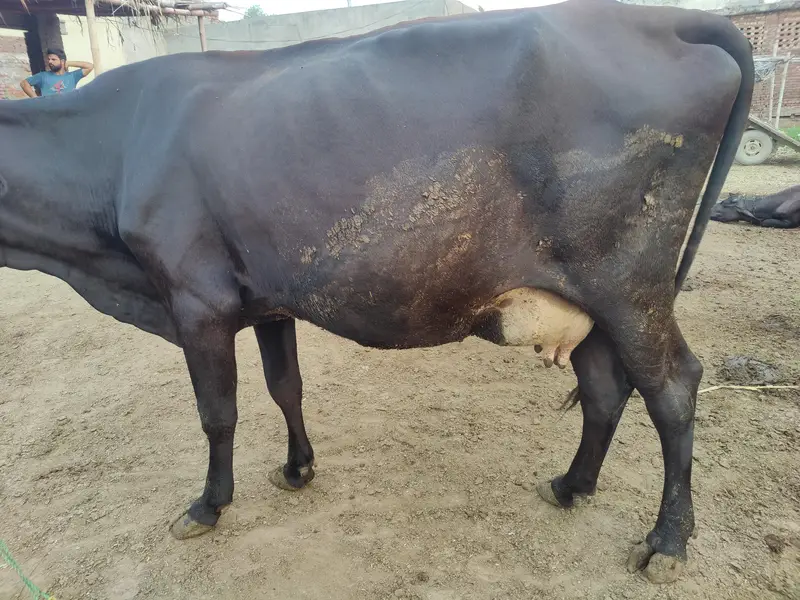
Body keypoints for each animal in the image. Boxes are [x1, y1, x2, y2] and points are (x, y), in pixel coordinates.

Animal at [0, 0, 753, 584]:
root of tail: (662, 20)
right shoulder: (266, 296)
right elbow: (286, 387)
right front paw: (298, 468)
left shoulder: (194, 300)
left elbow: (218, 414)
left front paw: (208, 505)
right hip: (585, 294)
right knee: (604, 388)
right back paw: (571, 486)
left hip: (630, 284)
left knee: (673, 389)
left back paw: (668, 543)